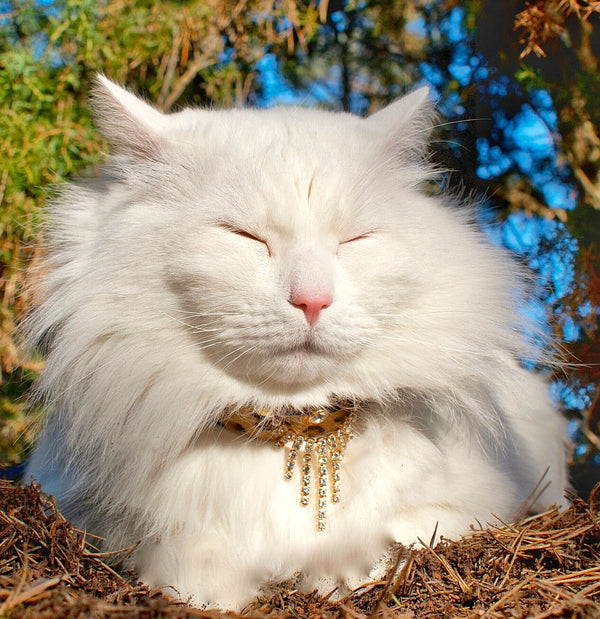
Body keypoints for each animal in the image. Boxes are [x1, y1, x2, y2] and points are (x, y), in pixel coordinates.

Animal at [24, 76, 568, 612]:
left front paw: (335, 573)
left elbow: (392, 540)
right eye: (244, 236)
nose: (312, 301)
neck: (292, 429)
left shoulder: (470, 504)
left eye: (354, 240)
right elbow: (186, 561)